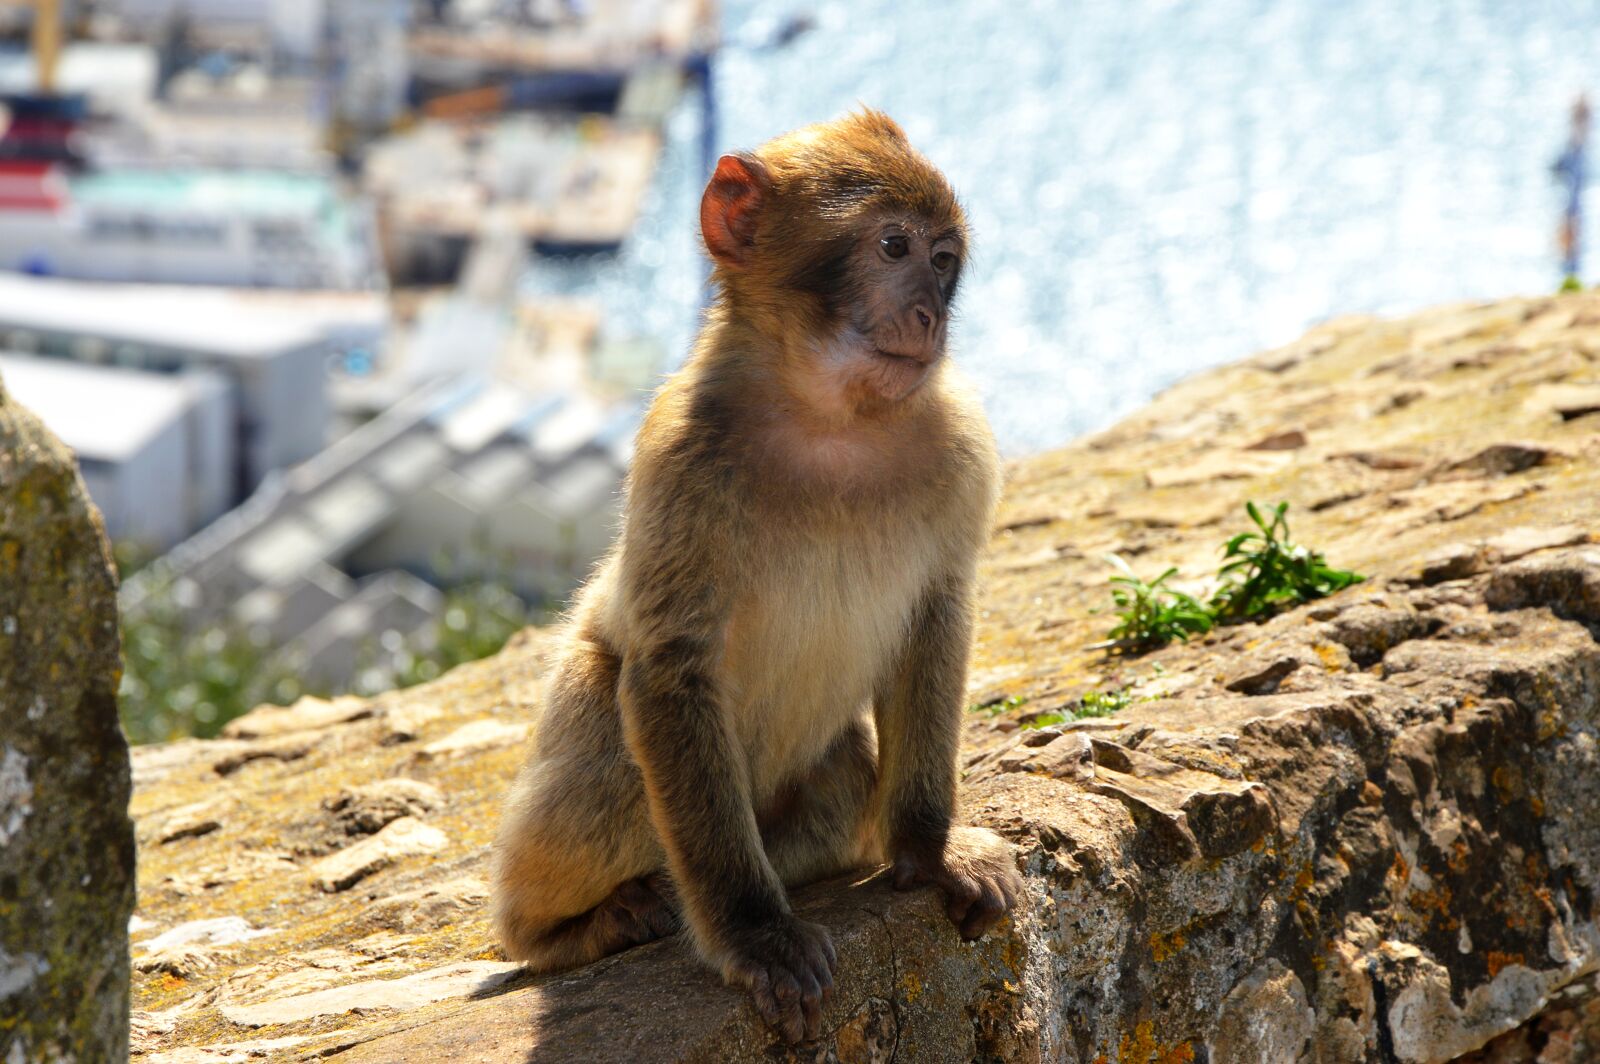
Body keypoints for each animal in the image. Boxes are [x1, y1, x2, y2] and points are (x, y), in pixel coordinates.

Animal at [491, 109, 1022, 1045]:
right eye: (892, 246)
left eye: (944, 257)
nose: (929, 314)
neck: (830, 416)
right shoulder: (678, 457)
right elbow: (671, 671)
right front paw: (756, 934)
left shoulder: (962, 441)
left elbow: (938, 615)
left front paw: (929, 847)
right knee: (616, 739)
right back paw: (571, 928)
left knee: (840, 780)